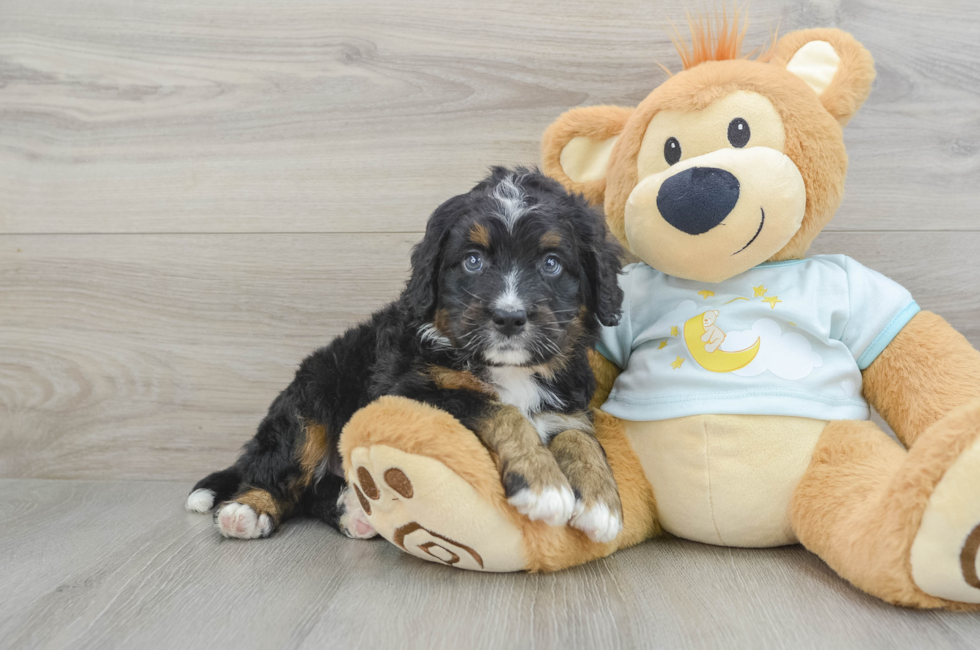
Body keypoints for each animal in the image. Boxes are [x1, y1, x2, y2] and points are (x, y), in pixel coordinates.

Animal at [186, 167, 628, 540]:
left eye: (551, 264)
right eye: (473, 261)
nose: (509, 317)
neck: (509, 370)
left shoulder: (567, 402)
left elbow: (580, 436)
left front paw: (602, 503)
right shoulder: (413, 391)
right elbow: (501, 410)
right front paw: (543, 484)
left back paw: (352, 512)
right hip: (312, 398)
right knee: (283, 466)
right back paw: (248, 509)